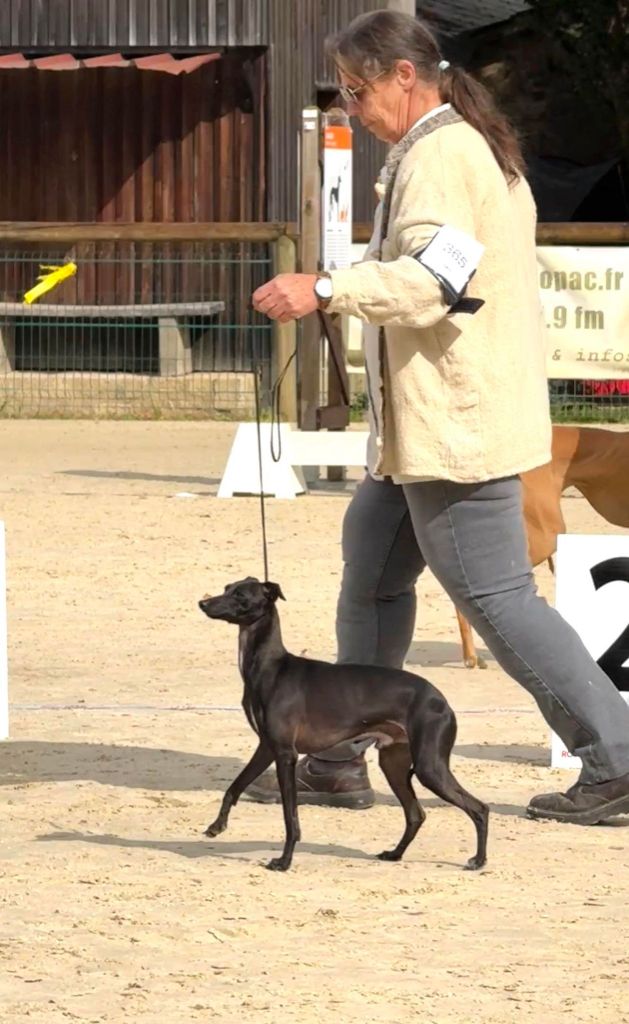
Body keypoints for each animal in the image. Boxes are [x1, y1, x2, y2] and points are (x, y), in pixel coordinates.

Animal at [199, 577, 489, 872]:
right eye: (226, 588)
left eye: (240, 595)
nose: (203, 603)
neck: (271, 667)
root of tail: (442, 701)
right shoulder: (267, 748)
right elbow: (234, 787)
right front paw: (217, 825)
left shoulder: (285, 754)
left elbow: (290, 817)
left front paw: (284, 861)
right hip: (394, 763)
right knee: (415, 814)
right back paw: (395, 854)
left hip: (429, 767)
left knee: (478, 808)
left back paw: (478, 860)